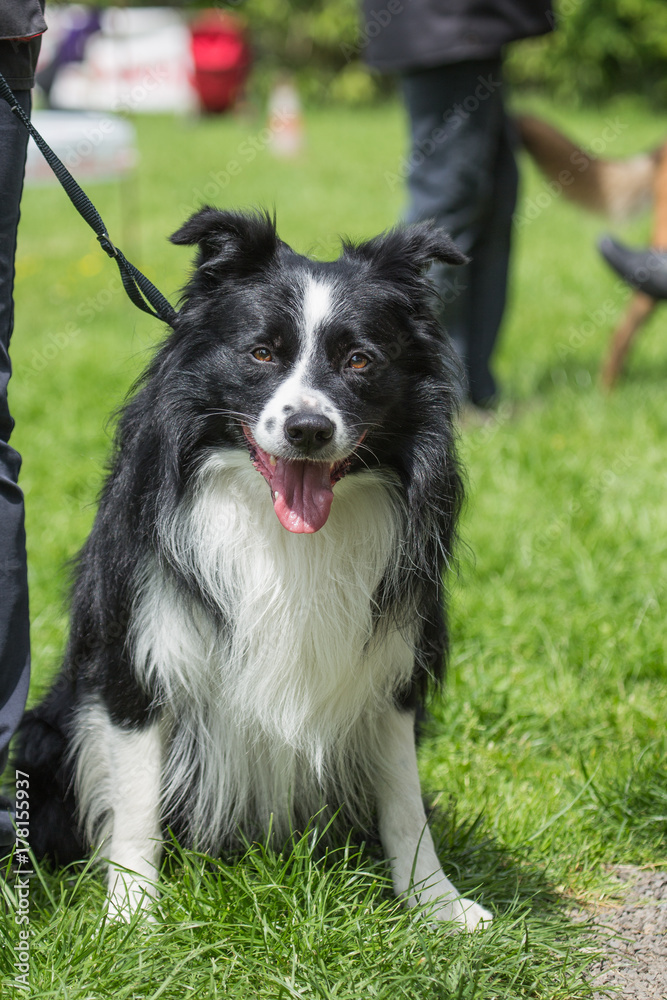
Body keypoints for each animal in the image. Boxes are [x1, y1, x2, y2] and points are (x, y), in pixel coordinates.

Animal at [13, 209, 494, 928]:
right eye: (262, 353)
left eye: (359, 360)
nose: (308, 429)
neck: (281, 531)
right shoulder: (137, 659)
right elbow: (136, 805)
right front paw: (131, 919)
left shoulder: (391, 664)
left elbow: (405, 803)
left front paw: (436, 904)